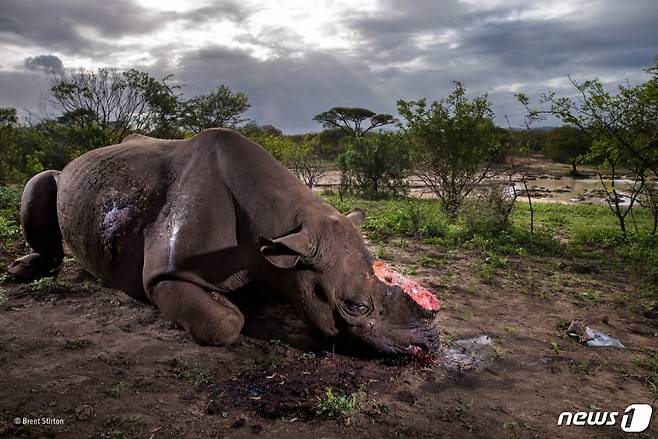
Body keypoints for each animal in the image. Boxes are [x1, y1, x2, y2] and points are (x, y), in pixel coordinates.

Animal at [7, 129, 438, 356]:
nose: (429, 344)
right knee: (41, 181)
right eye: (356, 306)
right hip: (63, 177)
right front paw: (232, 307)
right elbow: (223, 323)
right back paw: (23, 271)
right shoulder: (165, 275)